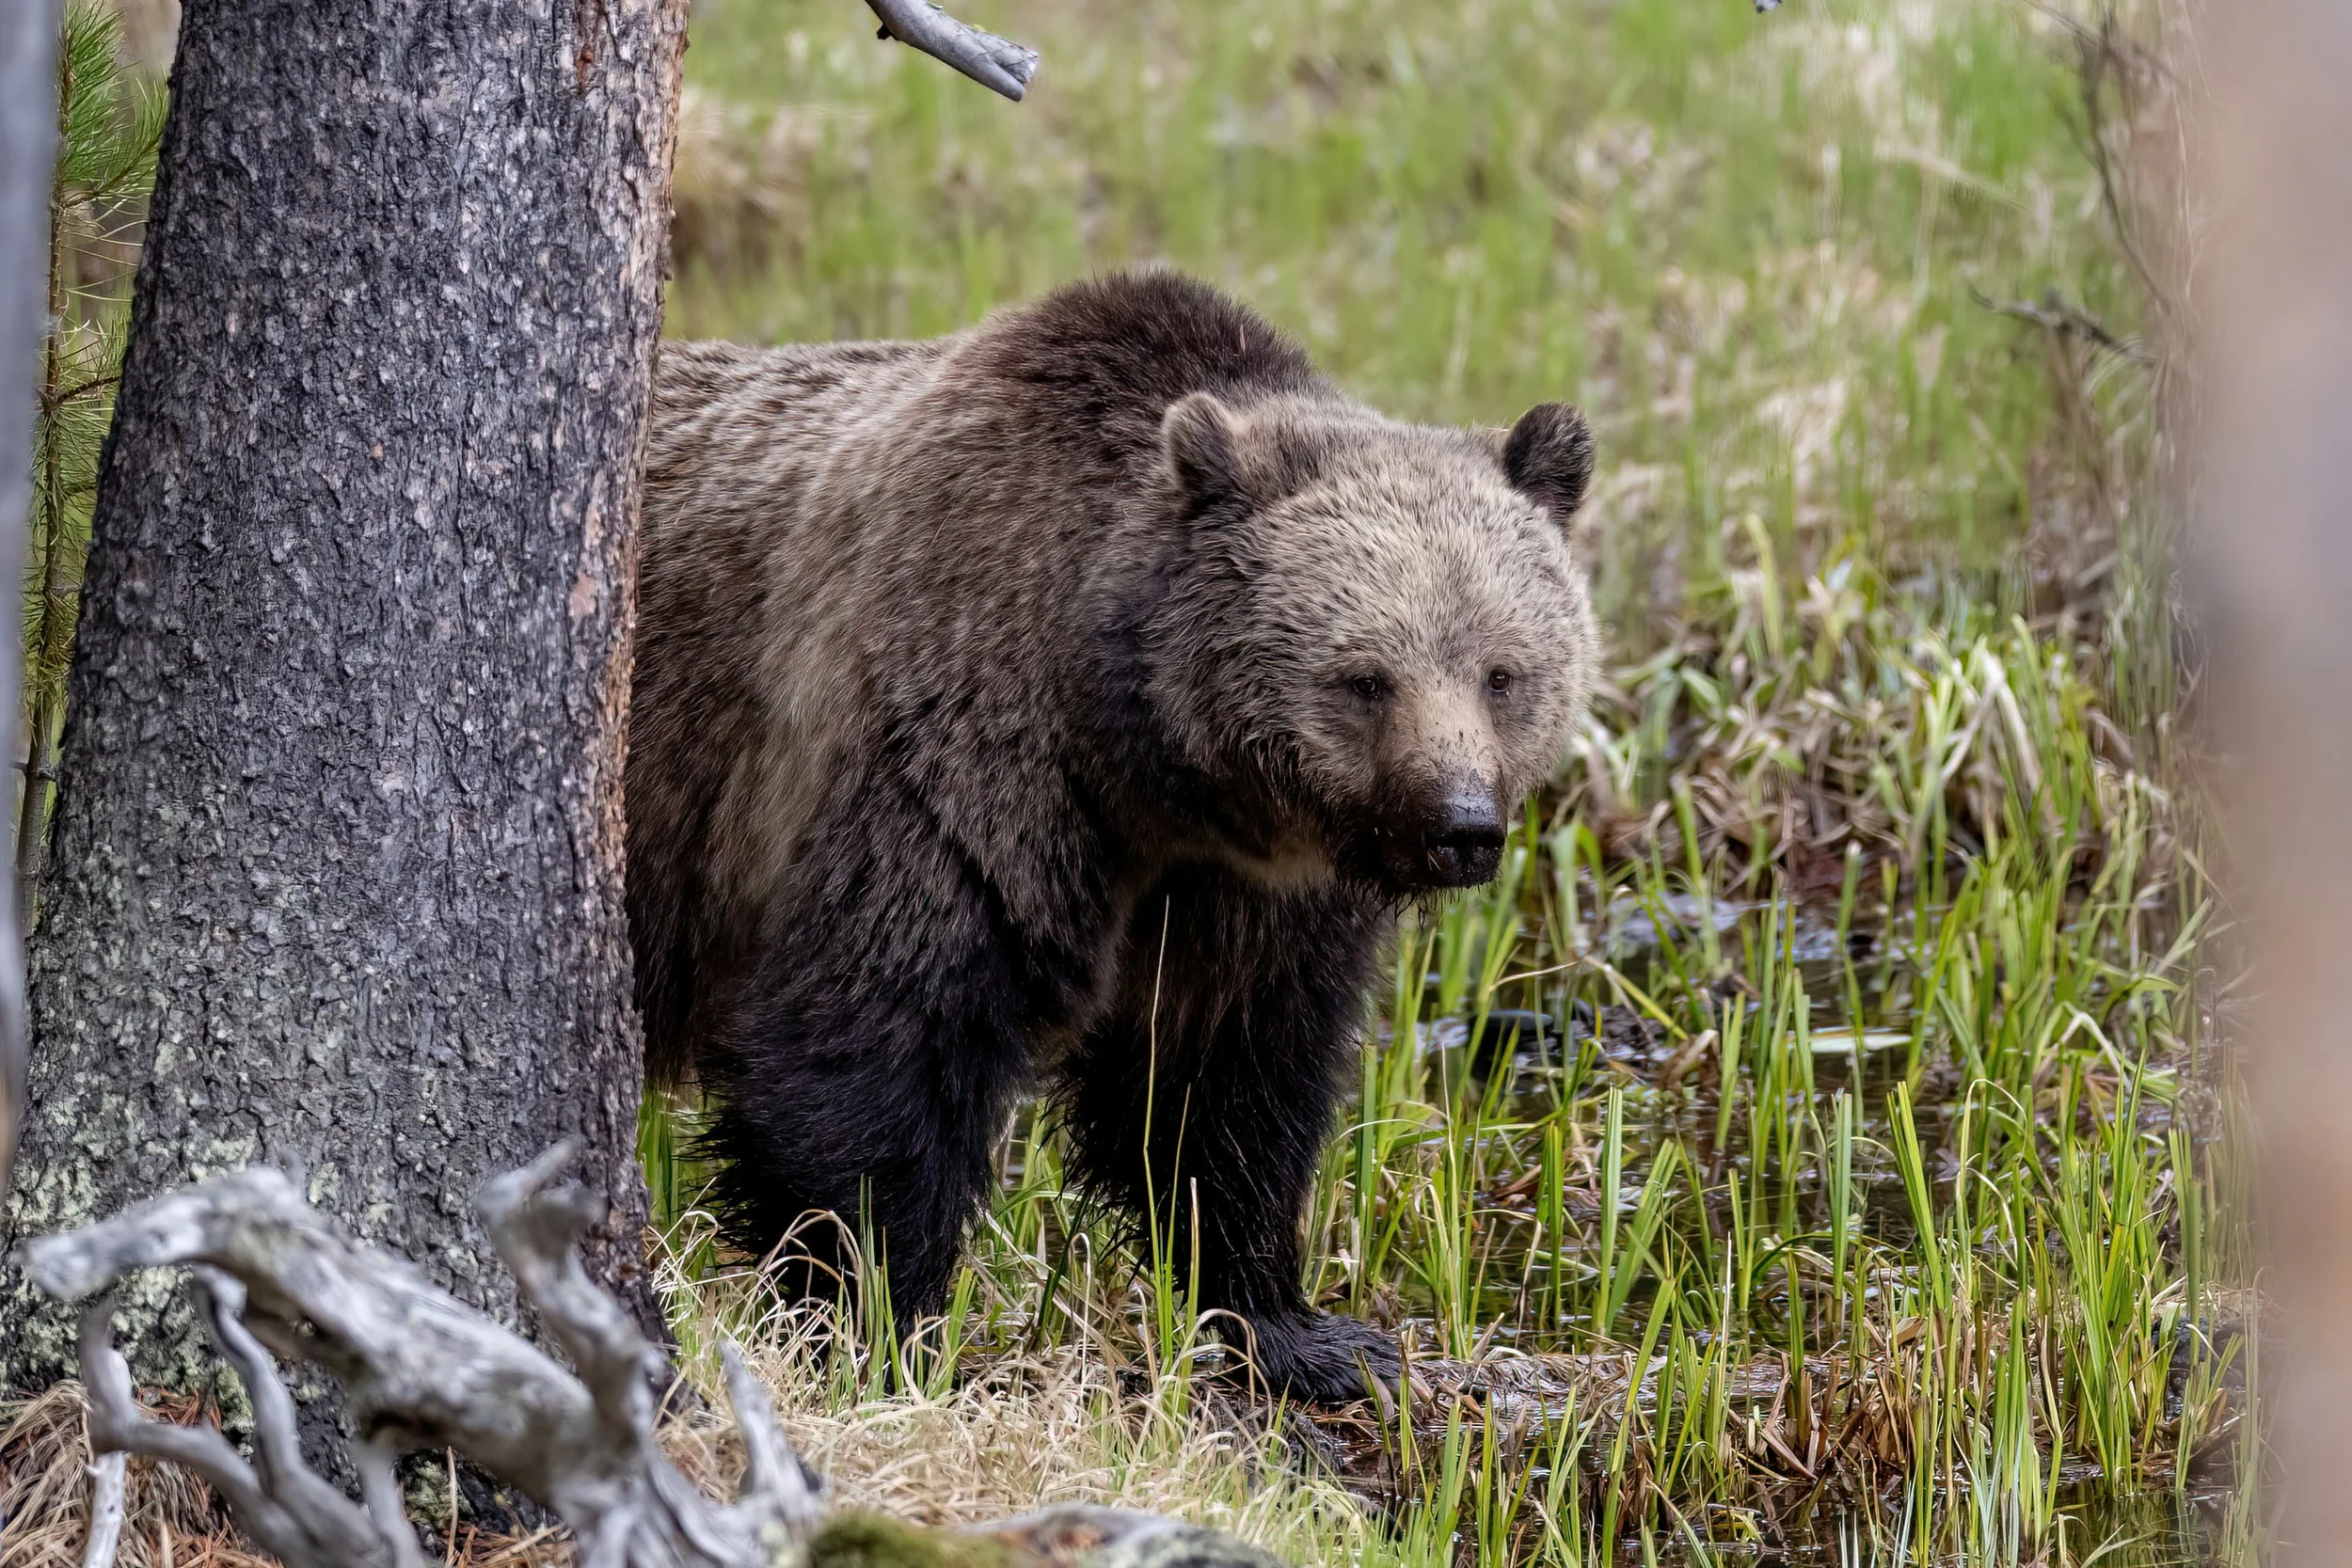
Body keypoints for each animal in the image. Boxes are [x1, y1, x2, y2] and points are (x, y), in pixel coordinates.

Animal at [627, 271, 1598, 1401]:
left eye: (1502, 671)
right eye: (1365, 677)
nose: (1460, 826)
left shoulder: (1240, 894)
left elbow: (1221, 1082)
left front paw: (1299, 1327)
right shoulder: (949, 763)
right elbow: (875, 1035)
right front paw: (879, 1323)